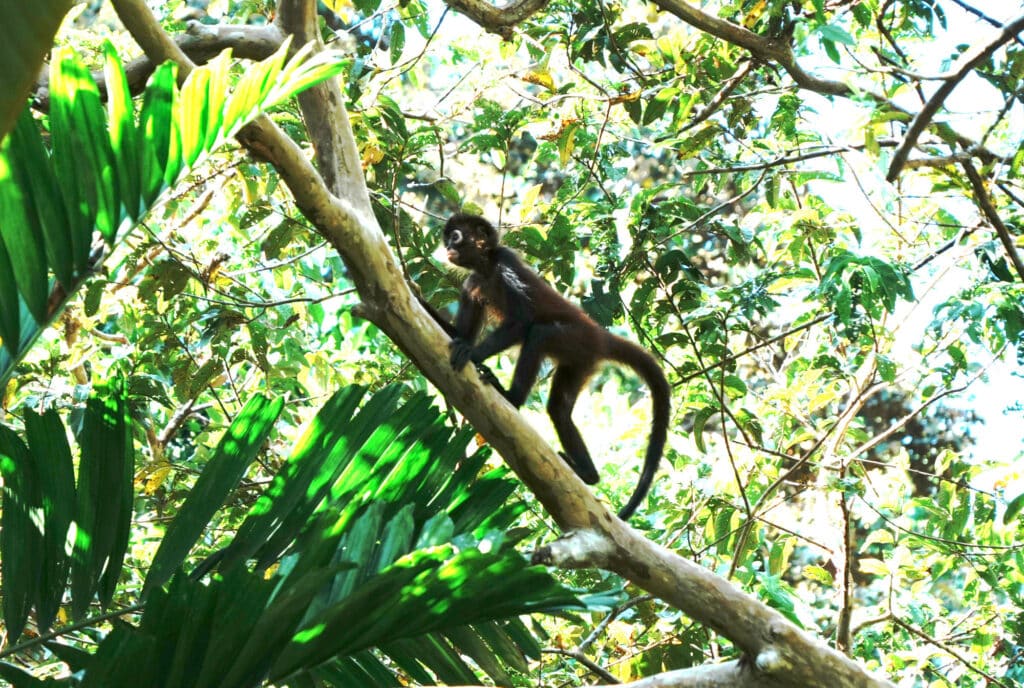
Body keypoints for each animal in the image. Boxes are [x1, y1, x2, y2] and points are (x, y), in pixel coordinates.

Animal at [441, 213, 671, 521]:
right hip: (580, 361)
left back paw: (511, 398)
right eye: (447, 238)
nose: (447, 247)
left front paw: (473, 353)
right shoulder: (472, 284)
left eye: (455, 236)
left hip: (576, 340)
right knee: (559, 409)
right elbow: (458, 334)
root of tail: (599, 335)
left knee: (539, 333)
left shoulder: (505, 263)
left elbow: (521, 322)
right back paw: (589, 475)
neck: (486, 268)